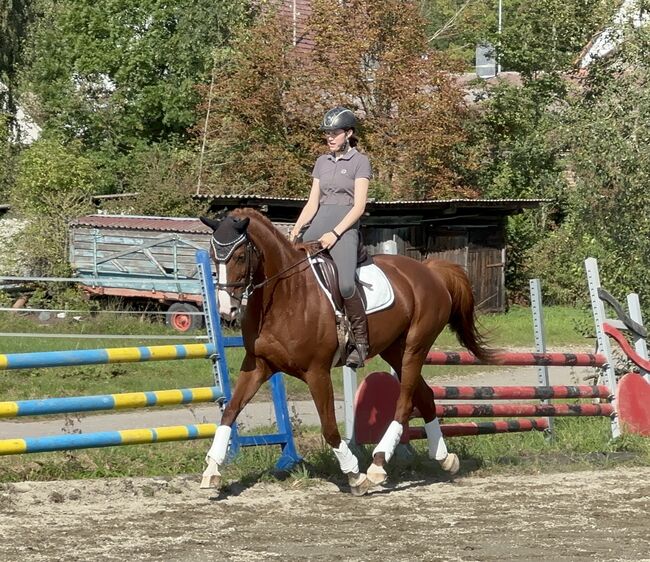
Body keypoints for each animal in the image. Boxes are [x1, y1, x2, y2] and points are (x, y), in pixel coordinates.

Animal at [200, 208, 488, 492]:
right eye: (213, 256)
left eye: (240, 256)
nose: (227, 311)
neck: (285, 295)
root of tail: (429, 270)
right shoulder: (258, 365)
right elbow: (229, 412)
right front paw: (212, 470)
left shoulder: (317, 372)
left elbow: (329, 428)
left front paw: (354, 475)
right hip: (394, 350)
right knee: (425, 395)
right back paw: (444, 458)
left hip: (415, 348)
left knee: (405, 401)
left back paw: (378, 464)